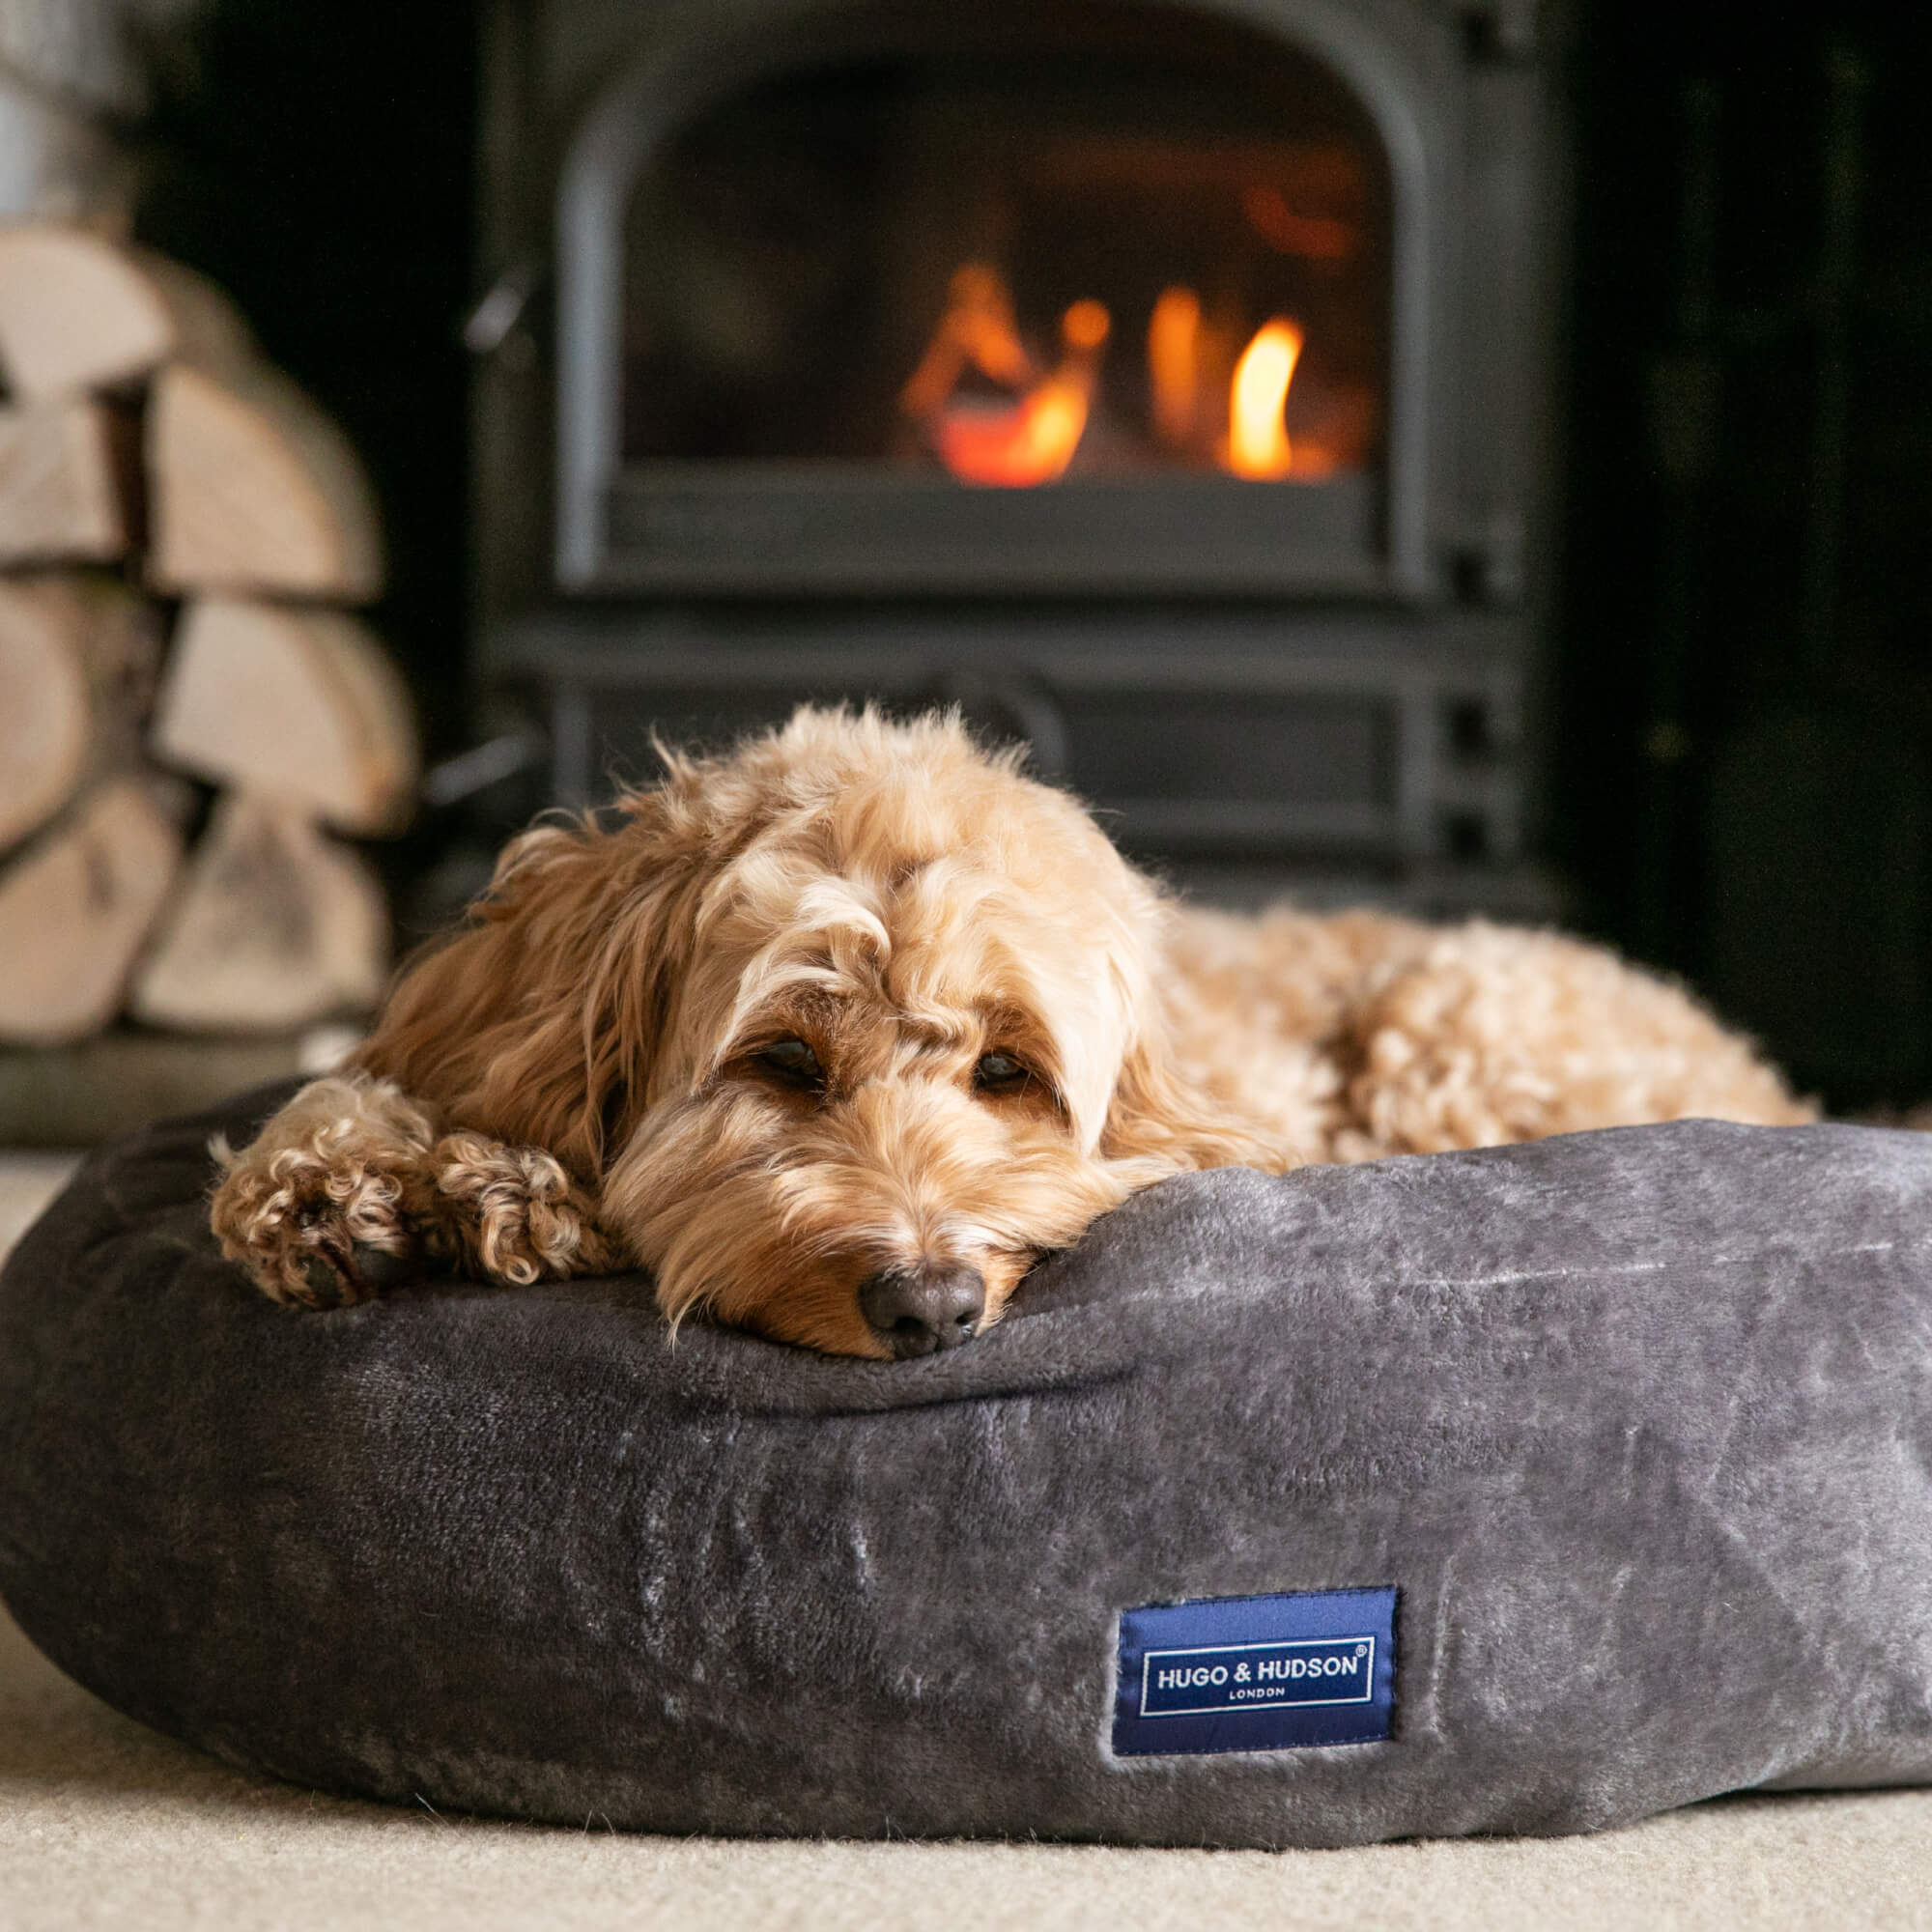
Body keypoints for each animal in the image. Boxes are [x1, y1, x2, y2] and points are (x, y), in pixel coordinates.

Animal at [212, 711, 1808, 1360]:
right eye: (782, 1061)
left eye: (1005, 1072)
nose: (928, 1307)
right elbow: (352, 1092)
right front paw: (338, 1184)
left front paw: (506, 1193)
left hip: (1458, 1012)